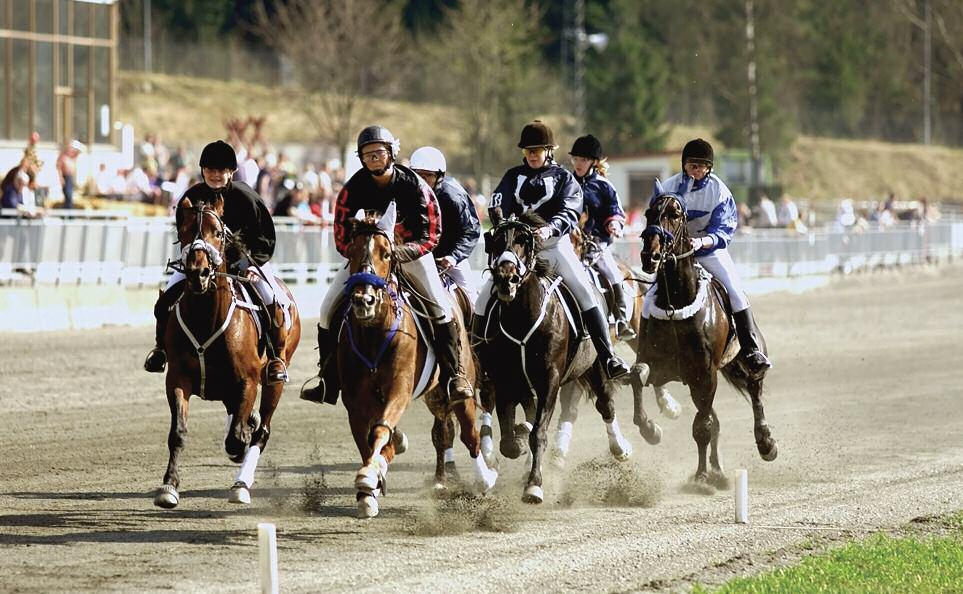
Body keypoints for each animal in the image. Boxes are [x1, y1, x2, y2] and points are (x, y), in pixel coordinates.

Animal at [153, 195, 302, 508]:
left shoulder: (248, 381)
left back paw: (241, 482)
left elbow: (237, 438)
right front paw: (169, 486)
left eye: (219, 234)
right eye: (184, 231)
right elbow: (178, 433)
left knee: (262, 431)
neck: (206, 318)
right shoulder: (177, 379)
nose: (198, 273)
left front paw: (242, 441)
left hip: (275, 378)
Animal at [338, 204, 494, 520]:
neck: (373, 334)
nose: (364, 300)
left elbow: (380, 430)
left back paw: (484, 479)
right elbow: (368, 440)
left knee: (469, 436)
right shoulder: (355, 401)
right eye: (351, 251)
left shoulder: (399, 388)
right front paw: (368, 491)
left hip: (461, 390)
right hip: (435, 396)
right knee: (442, 433)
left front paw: (369, 476)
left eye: (387, 254)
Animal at [476, 210, 636, 502]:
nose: (506, 278)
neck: (522, 319)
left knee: (605, 404)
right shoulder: (505, 381)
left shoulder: (549, 379)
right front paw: (518, 442)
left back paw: (620, 448)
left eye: (524, 240)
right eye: (496, 240)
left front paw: (534, 485)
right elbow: (509, 441)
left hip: (595, 366)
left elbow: (538, 432)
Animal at [636, 191, 780, 486]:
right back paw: (718, 469)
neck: (676, 303)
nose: (649, 255)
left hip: (747, 360)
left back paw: (765, 443)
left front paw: (702, 476)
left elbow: (702, 427)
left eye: (674, 215)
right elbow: (637, 376)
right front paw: (650, 429)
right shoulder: (658, 366)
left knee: (755, 394)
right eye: (648, 213)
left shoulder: (704, 375)